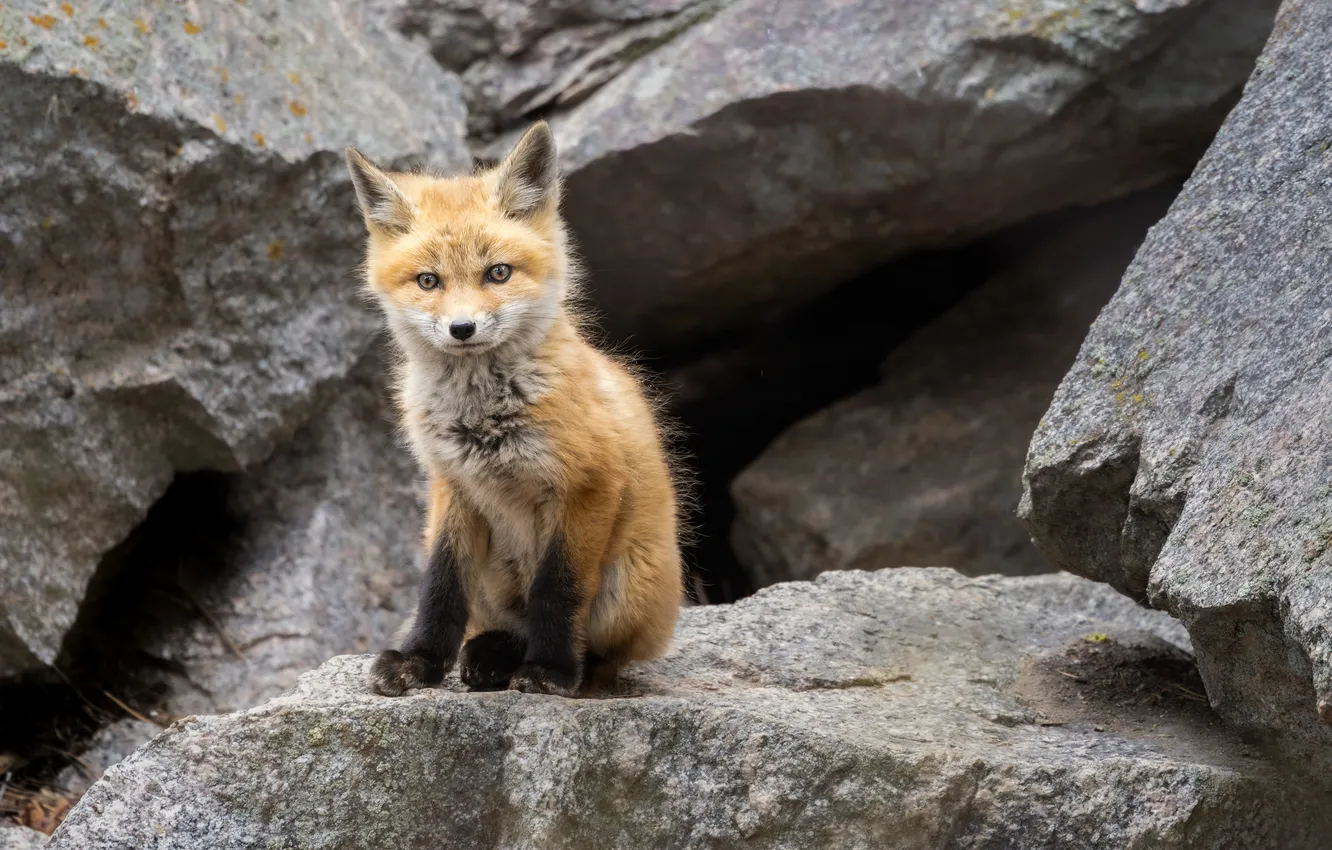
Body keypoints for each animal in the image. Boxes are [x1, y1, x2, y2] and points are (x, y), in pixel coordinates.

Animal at [345, 122, 684, 697]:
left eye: (498, 273)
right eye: (428, 281)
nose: (462, 328)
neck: (483, 418)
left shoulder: (588, 486)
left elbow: (558, 590)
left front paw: (549, 671)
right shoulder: (453, 487)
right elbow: (439, 588)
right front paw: (419, 660)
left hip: (624, 588)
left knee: (604, 654)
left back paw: (555, 667)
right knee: (500, 624)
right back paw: (490, 655)